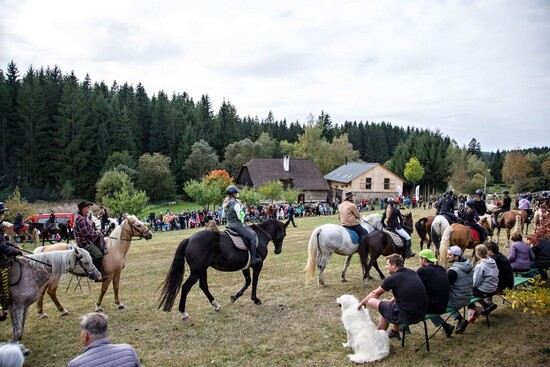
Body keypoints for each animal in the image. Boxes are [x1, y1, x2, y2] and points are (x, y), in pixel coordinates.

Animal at [157, 220, 292, 320]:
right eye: (284, 234)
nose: (278, 251)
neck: (260, 236)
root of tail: (189, 239)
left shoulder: (245, 266)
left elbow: (248, 282)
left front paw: (235, 297)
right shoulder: (258, 265)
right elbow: (254, 282)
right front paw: (255, 299)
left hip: (202, 270)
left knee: (203, 286)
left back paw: (216, 305)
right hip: (196, 271)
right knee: (186, 287)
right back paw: (183, 313)